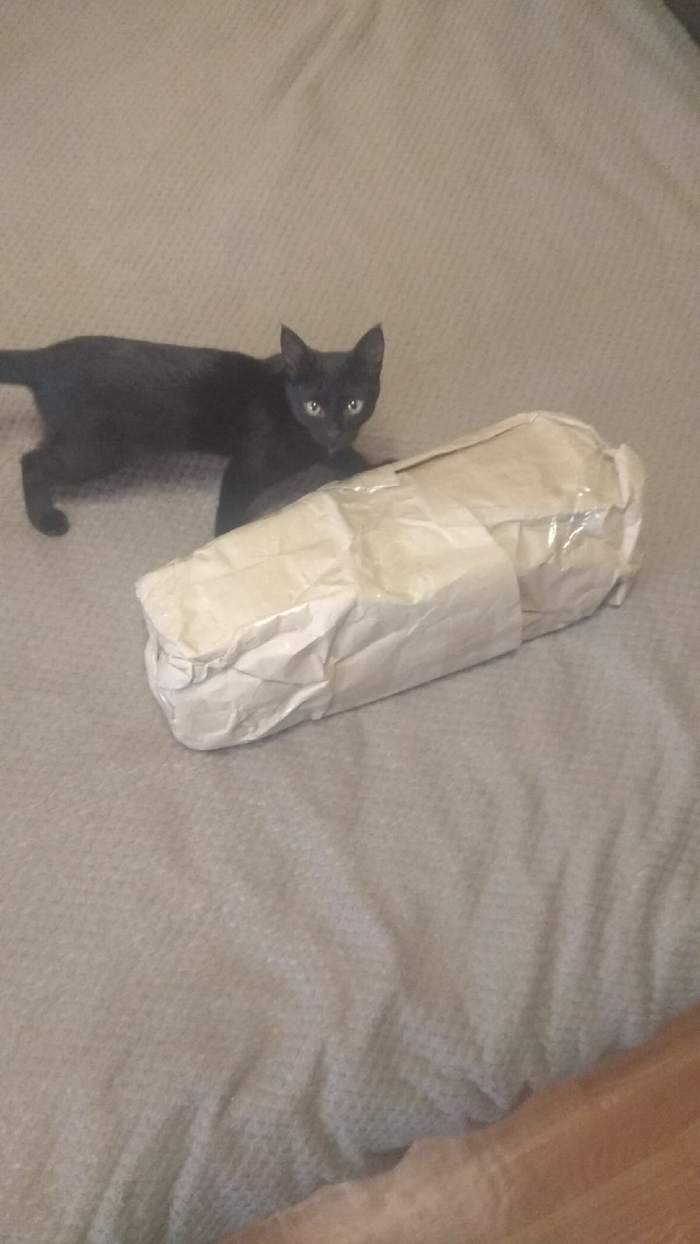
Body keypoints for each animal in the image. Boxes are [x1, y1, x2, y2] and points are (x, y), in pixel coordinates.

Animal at [0, 324, 385, 538]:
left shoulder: (328, 449)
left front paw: (382, 465)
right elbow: (230, 508)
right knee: (31, 461)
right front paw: (223, 545)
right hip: (97, 450)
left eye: (354, 405)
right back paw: (45, 519)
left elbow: (350, 460)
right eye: (313, 406)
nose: (334, 430)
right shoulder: (246, 466)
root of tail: (46, 358)